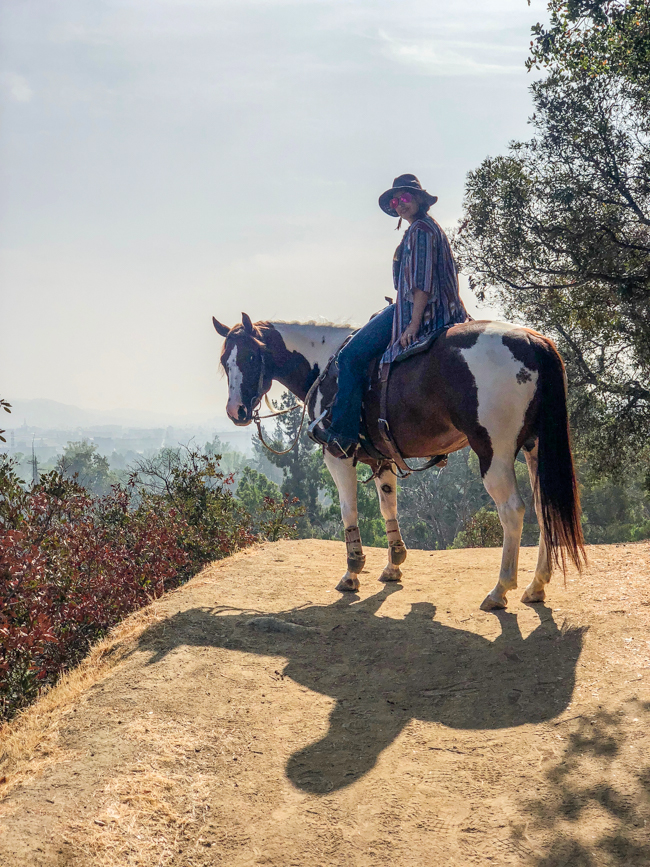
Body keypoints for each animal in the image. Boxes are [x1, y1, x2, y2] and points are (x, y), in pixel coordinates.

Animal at [213, 314, 584, 612]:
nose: (236, 412)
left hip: (494, 451)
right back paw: (536, 585)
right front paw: (394, 564)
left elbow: (349, 510)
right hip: (535, 447)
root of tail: (533, 341)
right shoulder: (382, 458)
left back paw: (499, 590)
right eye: (223, 361)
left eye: (250, 355)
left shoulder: (338, 454)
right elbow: (387, 506)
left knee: (512, 511)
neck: (327, 365)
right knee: (543, 507)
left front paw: (352, 570)